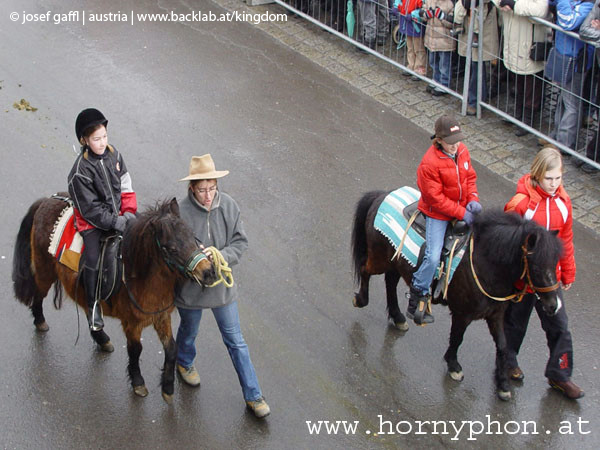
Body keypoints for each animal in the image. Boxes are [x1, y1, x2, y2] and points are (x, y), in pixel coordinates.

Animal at [11, 195, 216, 402]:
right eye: (171, 249)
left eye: (192, 237)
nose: (208, 272)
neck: (139, 276)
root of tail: (46, 201)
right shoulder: (132, 323)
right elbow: (135, 350)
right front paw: (138, 382)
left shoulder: (161, 316)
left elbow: (172, 348)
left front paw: (167, 387)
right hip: (45, 271)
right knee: (38, 295)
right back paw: (40, 322)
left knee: (89, 308)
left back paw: (101, 339)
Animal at [352, 191, 564, 400]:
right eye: (536, 267)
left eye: (556, 263)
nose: (553, 306)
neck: (485, 262)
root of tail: (383, 195)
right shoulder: (463, 313)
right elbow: (457, 337)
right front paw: (454, 366)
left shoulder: (495, 315)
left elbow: (503, 346)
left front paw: (503, 384)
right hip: (380, 258)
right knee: (365, 269)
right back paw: (361, 300)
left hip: (396, 261)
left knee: (390, 282)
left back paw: (398, 318)